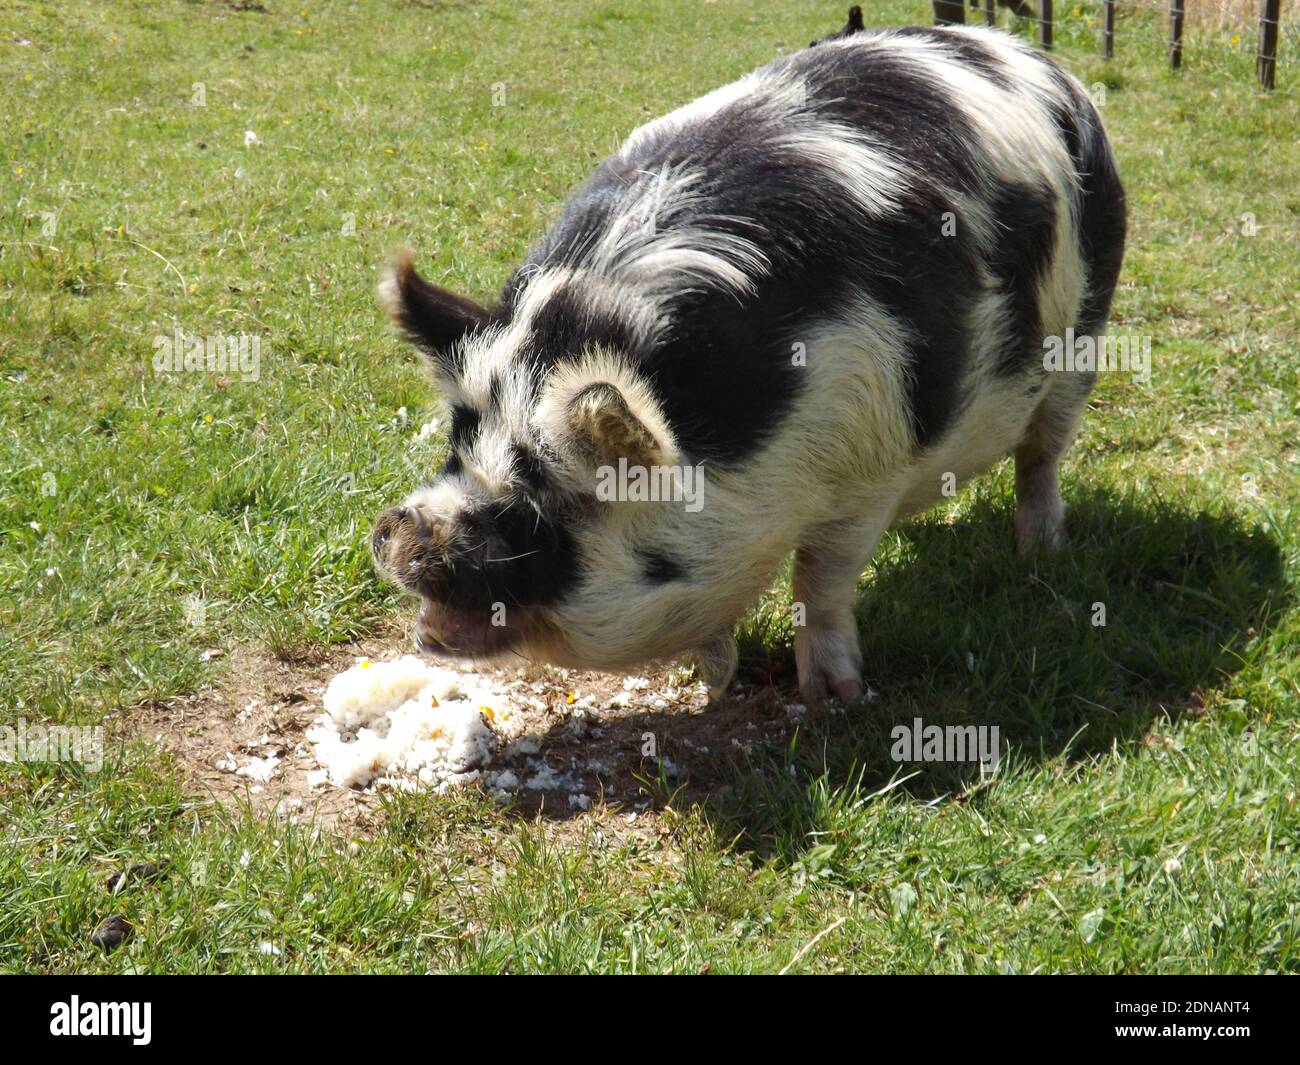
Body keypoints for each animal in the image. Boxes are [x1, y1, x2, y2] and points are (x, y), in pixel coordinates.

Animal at [371, 20, 1123, 702]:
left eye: (532, 506)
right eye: (458, 450)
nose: (393, 528)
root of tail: (1020, 50)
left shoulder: (873, 467)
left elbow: (822, 578)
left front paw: (835, 697)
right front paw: (709, 679)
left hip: (1083, 338)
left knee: (1042, 453)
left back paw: (1040, 550)